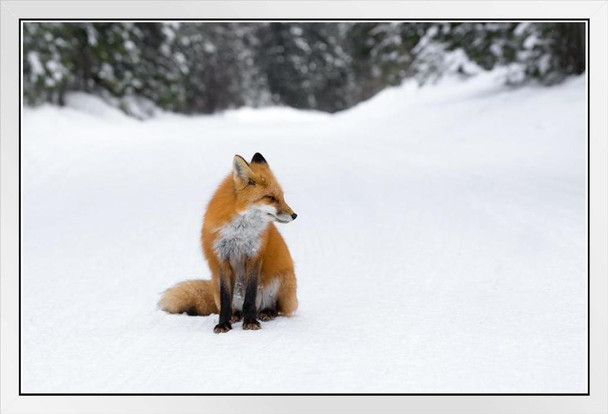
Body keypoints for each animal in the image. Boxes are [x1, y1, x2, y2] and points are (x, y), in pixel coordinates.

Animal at [158, 153, 298, 334]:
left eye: (281, 197)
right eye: (271, 198)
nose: (294, 215)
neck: (239, 232)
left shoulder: (254, 254)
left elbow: (250, 297)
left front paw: (250, 321)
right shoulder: (222, 257)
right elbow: (225, 300)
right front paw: (224, 323)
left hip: (280, 282)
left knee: (276, 307)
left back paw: (266, 312)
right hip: (217, 282)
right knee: (232, 305)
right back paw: (236, 315)